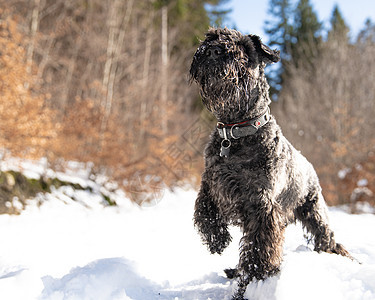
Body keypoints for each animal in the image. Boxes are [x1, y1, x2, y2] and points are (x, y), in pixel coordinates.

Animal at [191, 27, 352, 298]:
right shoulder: (212, 182)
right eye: (210, 37)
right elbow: (203, 208)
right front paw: (217, 240)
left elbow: (259, 249)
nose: (213, 51)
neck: (235, 133)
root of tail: (309, 165)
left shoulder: (263, 208)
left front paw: (255, 277)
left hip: (314, 210)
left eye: (245, 47)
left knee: (327, 237)